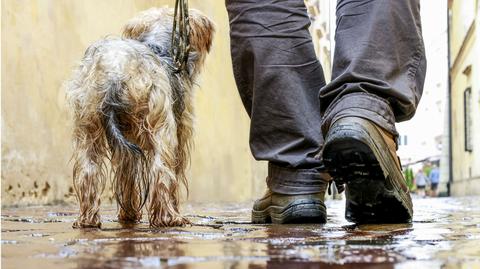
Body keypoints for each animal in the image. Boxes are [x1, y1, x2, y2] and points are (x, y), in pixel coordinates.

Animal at [65, 7, 214, 227]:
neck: (160, 46)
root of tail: (115, 73)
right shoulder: (180, 132)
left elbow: (127, 176)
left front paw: (128, 214)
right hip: (161, 128)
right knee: (162, 172)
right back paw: (169, 218)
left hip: (88, 124)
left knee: (88, 171)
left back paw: (88, 220)